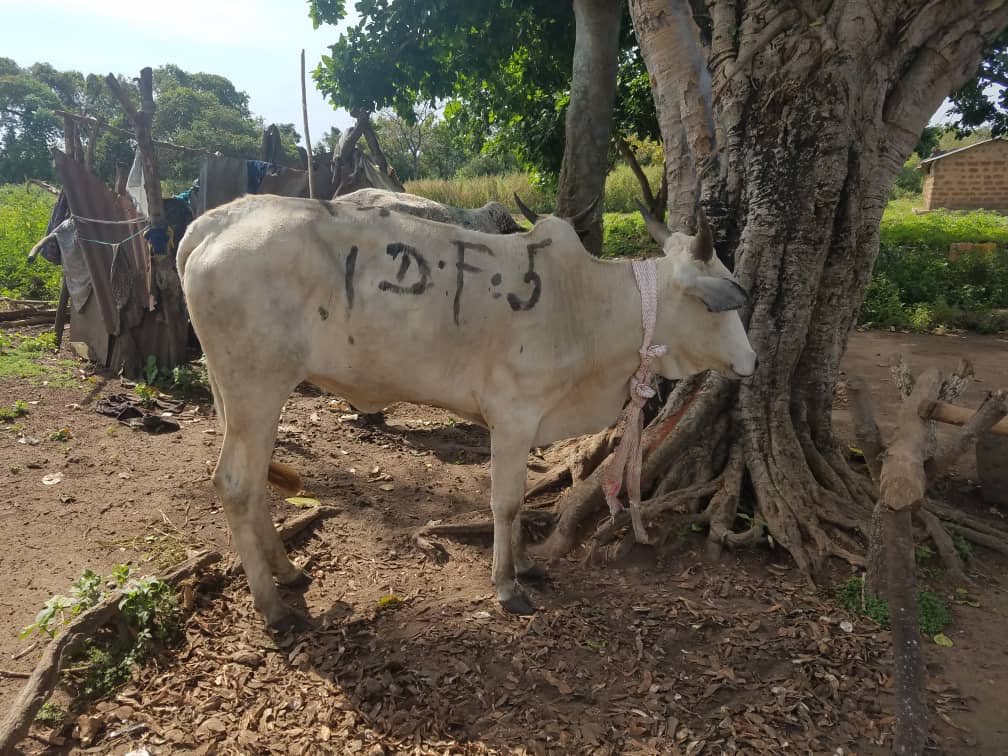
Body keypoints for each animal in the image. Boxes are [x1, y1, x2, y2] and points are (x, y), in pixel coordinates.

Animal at [177, 195, 753, 628]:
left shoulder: (530, 422)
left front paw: (526, 564)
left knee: (254, 485)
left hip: (250, 398)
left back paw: (289, 572)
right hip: (256, 388)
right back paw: (273, 607)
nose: (751, 359)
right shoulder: (513, 415)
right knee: (234, 484)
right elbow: (507, 502)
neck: (586, 308)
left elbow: (521, 499)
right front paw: (507, 585)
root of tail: (217, 220)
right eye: (716, 303)